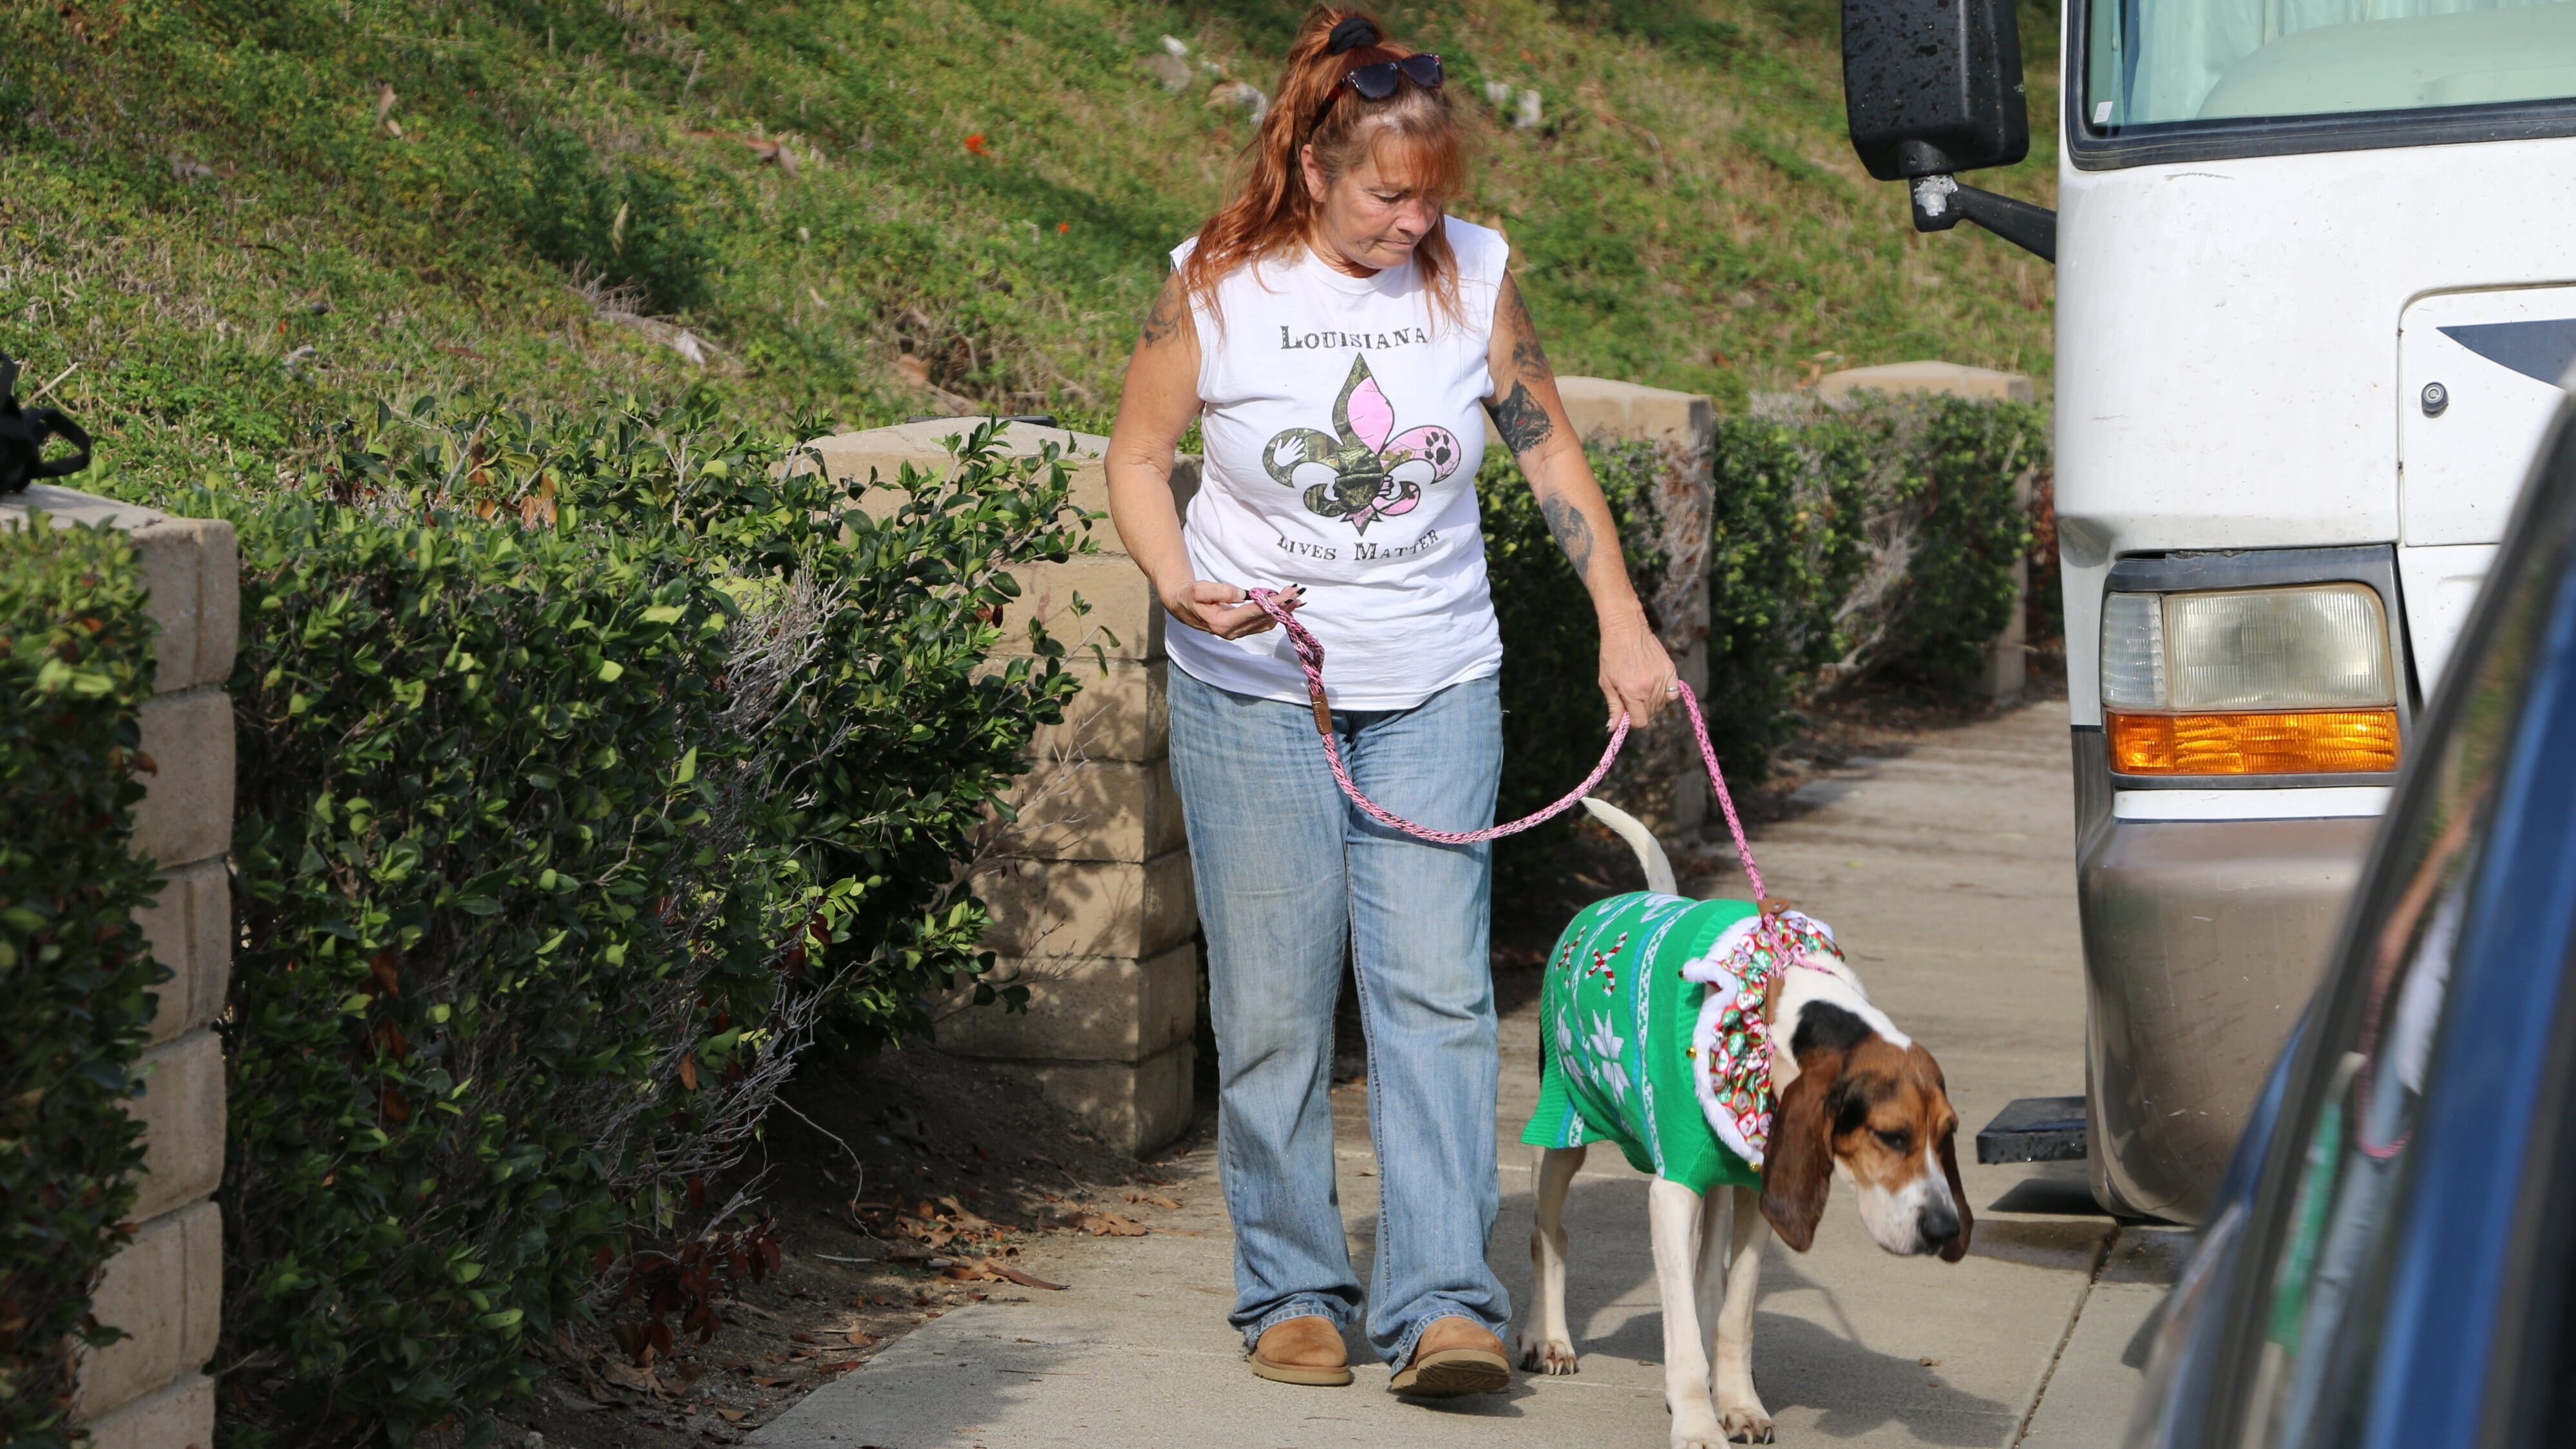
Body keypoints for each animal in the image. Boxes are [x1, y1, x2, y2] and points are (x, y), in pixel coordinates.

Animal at [1504, 794, 1968, 1433]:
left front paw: (1739, 1402)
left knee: (1708, 1278)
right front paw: (1698, 1424)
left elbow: (1736, 1310)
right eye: (1890, 1136)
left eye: (1947, 1135)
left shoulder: (1757, 1188)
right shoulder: (1672, 1194)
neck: (1777, 1001)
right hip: (1564, 1125)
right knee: (1547, 1232)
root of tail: (1616, 899)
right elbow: (1679, 1324)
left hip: (1721, 1171)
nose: (1946, 1230)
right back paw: (1547, 1338)